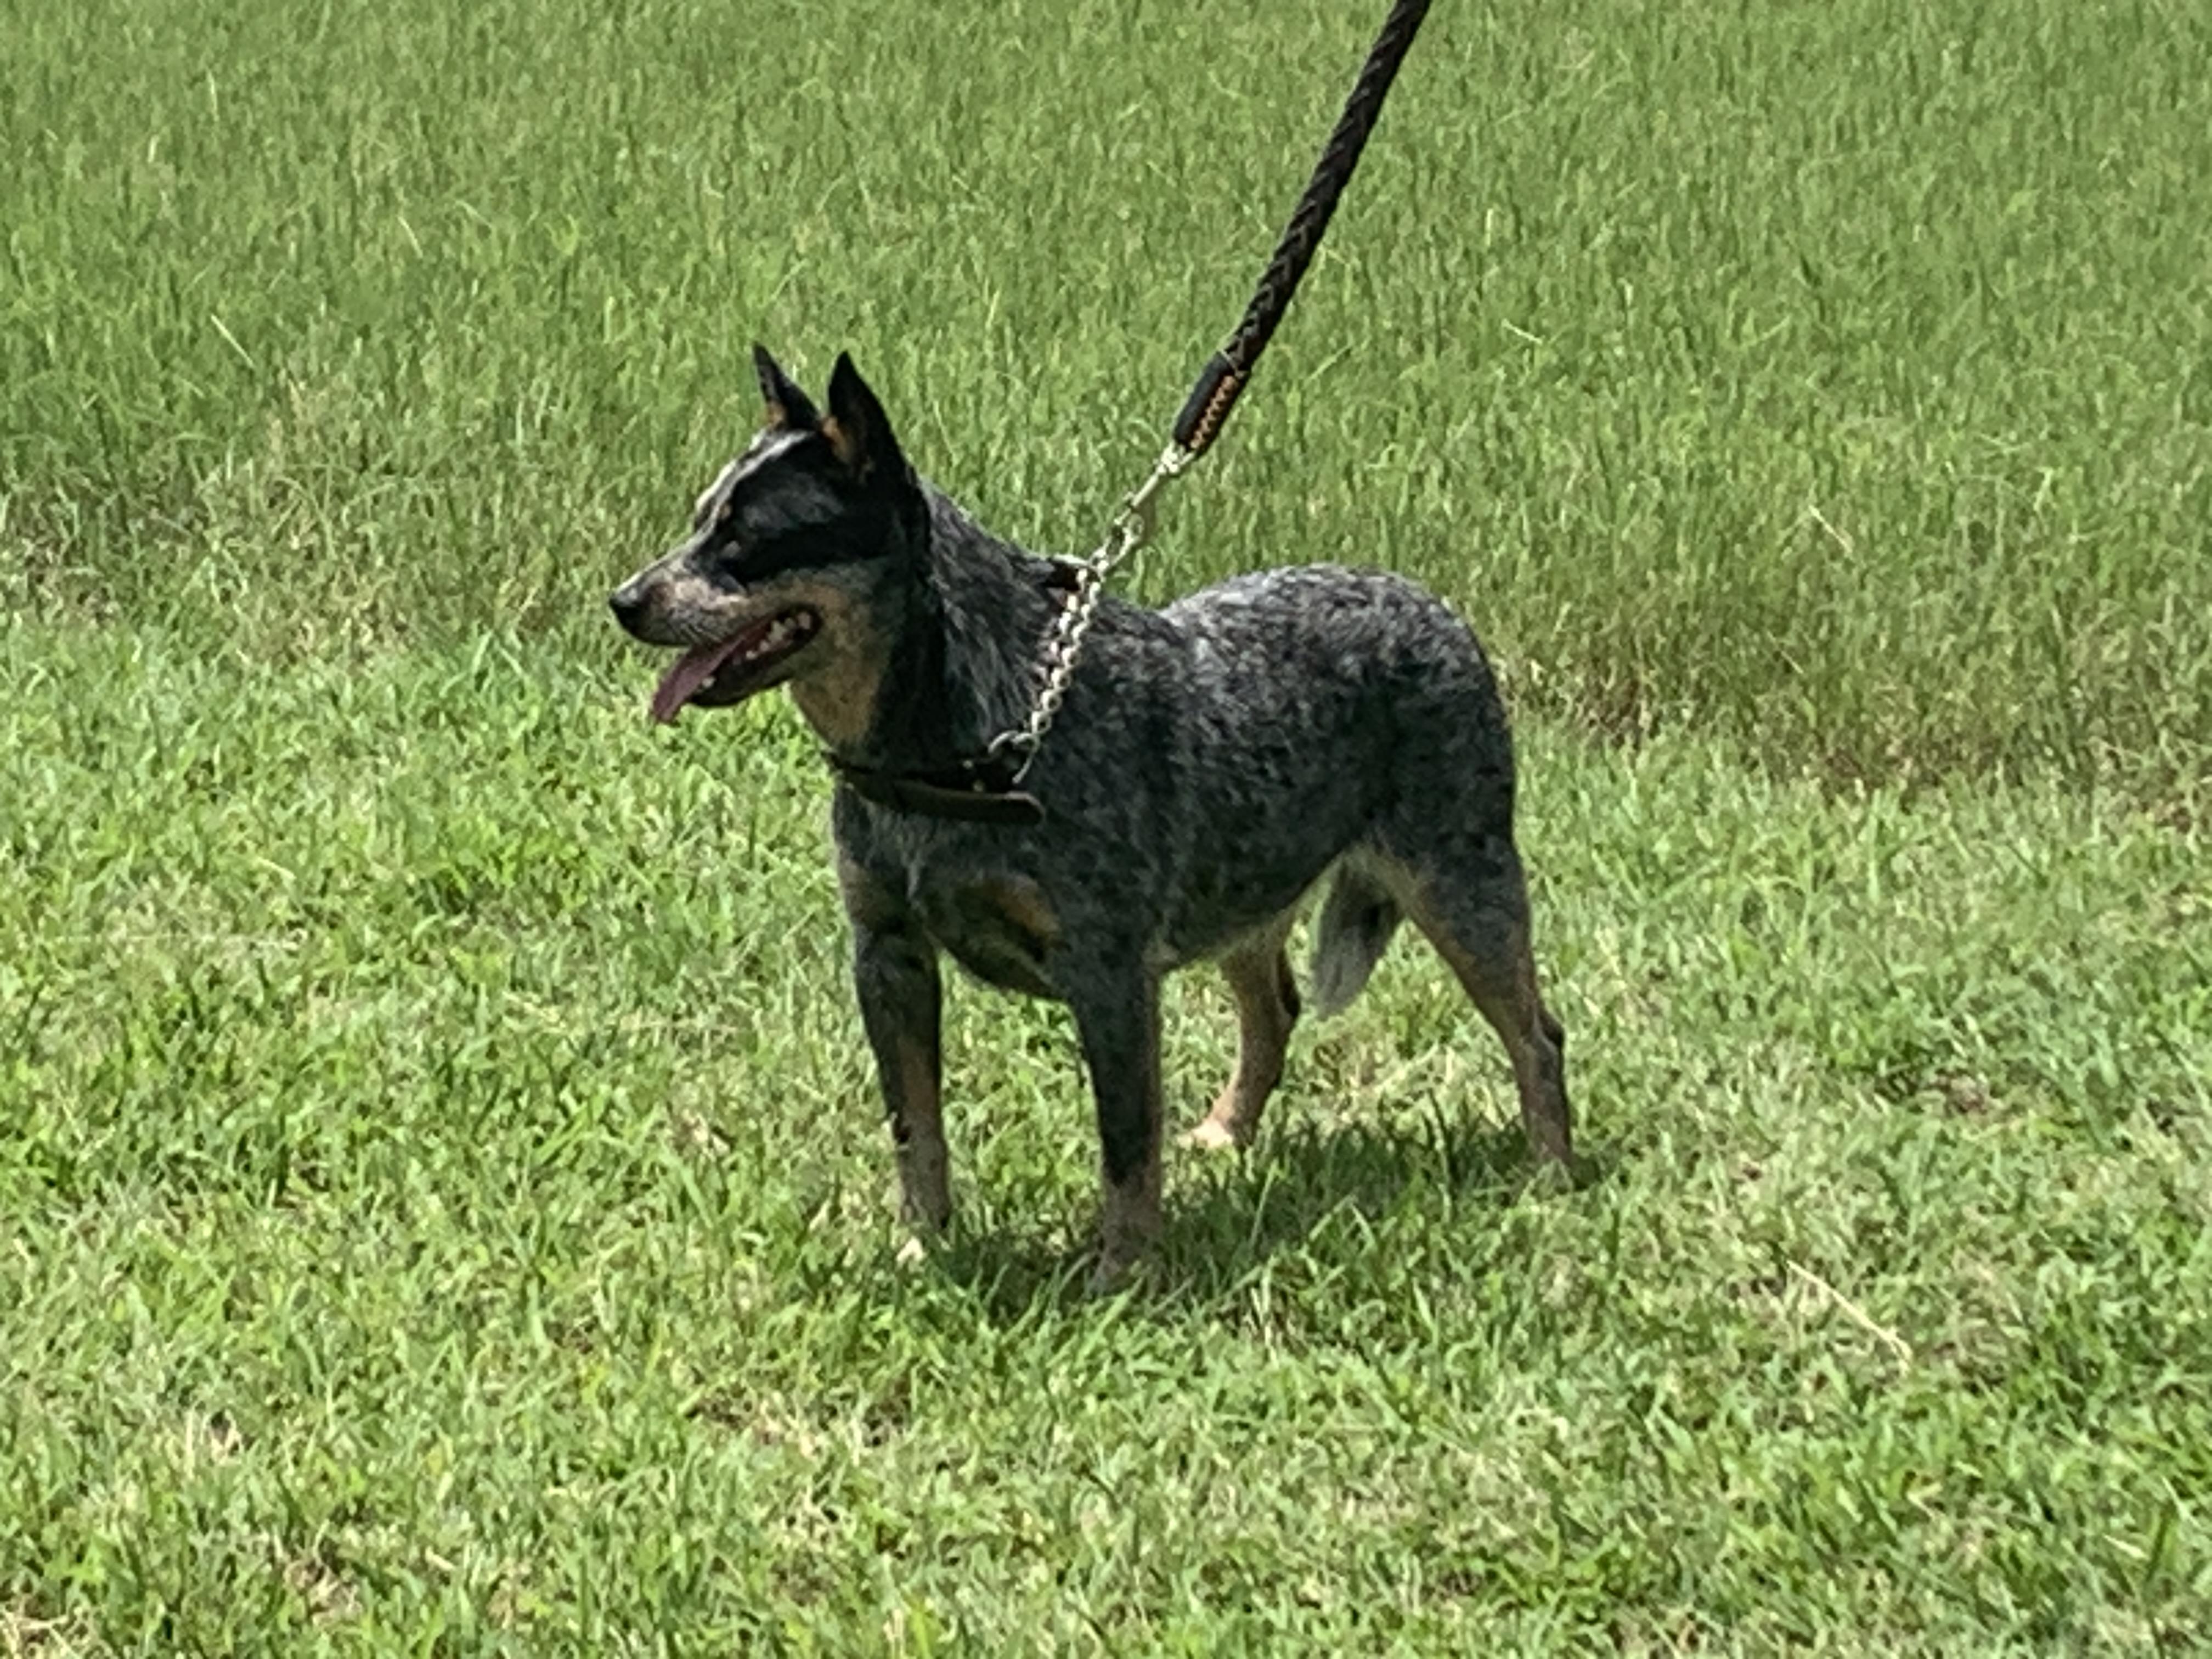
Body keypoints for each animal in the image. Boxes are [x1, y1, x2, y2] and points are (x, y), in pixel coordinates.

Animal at [611, 347, 1573, 1286]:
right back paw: (1228, 1132)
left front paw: (1122, 1274)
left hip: (1460, 884)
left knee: (1538, 1034)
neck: (956, 745)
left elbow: (1126, 1145)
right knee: (1275, 1011)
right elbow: (915, 1127)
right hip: (1247, 889)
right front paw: (924, 1247)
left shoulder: (1107, 973)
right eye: (698, 521)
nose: (624, 600)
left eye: (746, 540)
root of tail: (1435, 607)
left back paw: (1552, 1175)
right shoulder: (887, 954)